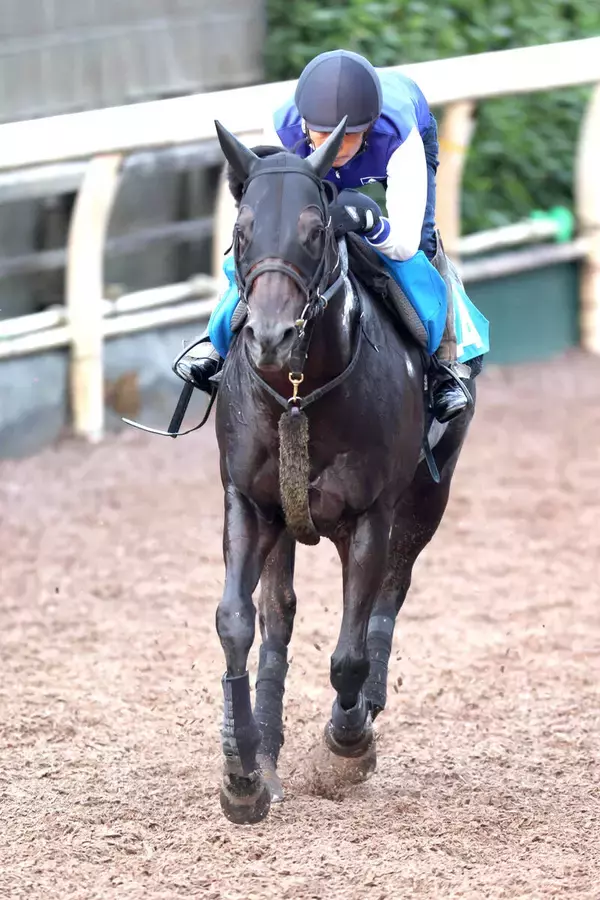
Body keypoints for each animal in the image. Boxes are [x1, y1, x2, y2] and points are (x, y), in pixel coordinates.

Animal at [211, 117, 476, 825]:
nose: (270, 336)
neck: (300, 392)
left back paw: (361, 713)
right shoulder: (251, 503)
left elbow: (350, 653)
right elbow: (237, 621)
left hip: (427, 498)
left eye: (315, 230)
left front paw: (347, 746)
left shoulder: (370, 515)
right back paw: (269, 744)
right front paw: (243, 770)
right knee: (278, 615)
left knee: (389, 594)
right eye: (241, 230)